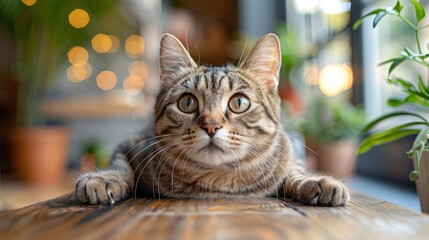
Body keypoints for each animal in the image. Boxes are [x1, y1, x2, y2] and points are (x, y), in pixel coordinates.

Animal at [75, 33, 350, 206]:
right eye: (187, 103)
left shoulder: (290, 151)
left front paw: (314, 180)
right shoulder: (132, 143)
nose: (211, 125)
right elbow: (120, 166)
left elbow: (295, 170)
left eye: (239, 103)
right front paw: (102, 178)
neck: (217, 181)